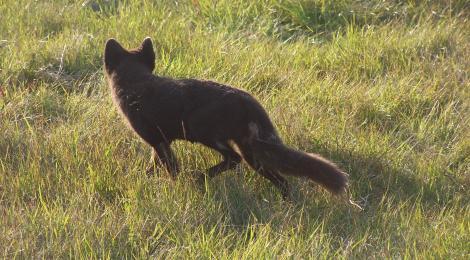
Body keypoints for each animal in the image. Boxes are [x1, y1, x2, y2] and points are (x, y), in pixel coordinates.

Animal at [105, 37, 348, 199]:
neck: (136, 84)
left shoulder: (157, 140)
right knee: (282, 180)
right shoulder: (162, 142)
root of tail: (249, 101)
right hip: (252, 153)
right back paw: (287, 205)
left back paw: (200, 178)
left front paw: (177, 189)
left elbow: (171, 169)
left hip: (205, 132)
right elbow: (153, 166)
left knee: (233, 159)